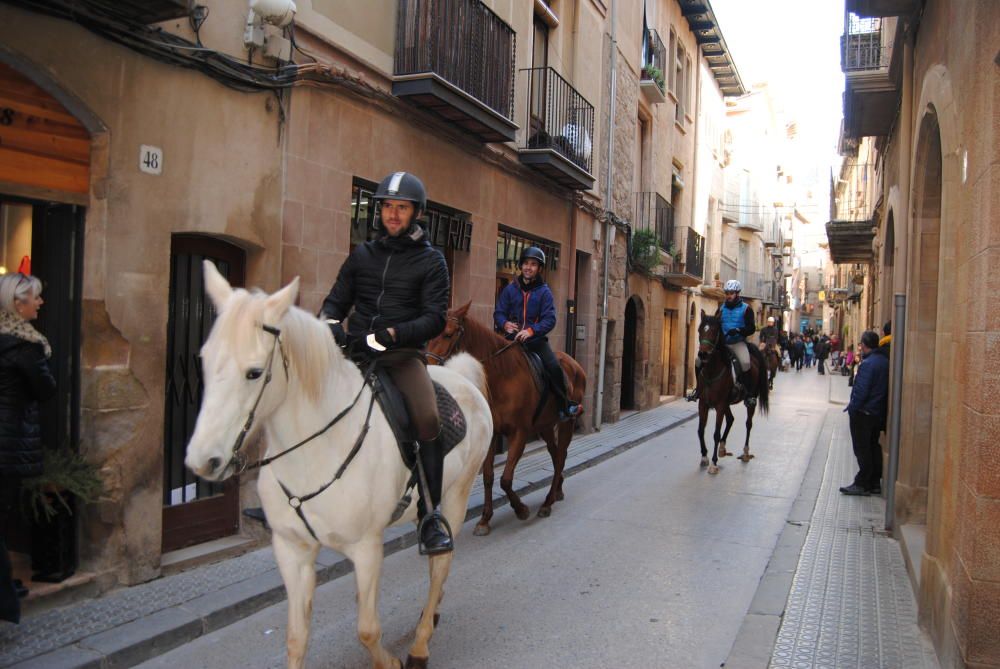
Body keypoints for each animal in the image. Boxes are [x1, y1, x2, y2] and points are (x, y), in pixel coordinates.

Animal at [186, 262, 494, 668]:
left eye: (254, 372)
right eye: (204, 361)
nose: (202, 460)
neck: (315, 451)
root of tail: (463, 378)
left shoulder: (366, 548)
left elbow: (367, 628)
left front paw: (390, 661)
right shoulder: (292, 549)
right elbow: (296, 638)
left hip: (458, 495)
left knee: (441, 562)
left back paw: (421, 644)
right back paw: (430, 618)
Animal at [424, 300, 584, 536]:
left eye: (448, 334)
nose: (428, 368)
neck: (502, 376)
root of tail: (574, 364)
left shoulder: (519, 433)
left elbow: (506, 479)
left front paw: (521, 509)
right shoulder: (492, 435)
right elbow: (489, 477)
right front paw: (484, 520)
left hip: (567, 423)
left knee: (561, 455)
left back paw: (547, 503)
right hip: (545, 426)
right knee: (556, 456)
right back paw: (557, 490)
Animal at [692, 310, 768, 472]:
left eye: (715, 331)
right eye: (700, 330)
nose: (703, 354)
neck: (712, 371)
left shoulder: (720, 405)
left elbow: (715, 433)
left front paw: (713, 463)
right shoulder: (703, 404)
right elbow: (701, 430)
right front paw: (704, 456)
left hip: (748, 401)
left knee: (748, 424)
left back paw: (745, 453)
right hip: (726, 403)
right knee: (731, 419)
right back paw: (722, 448)